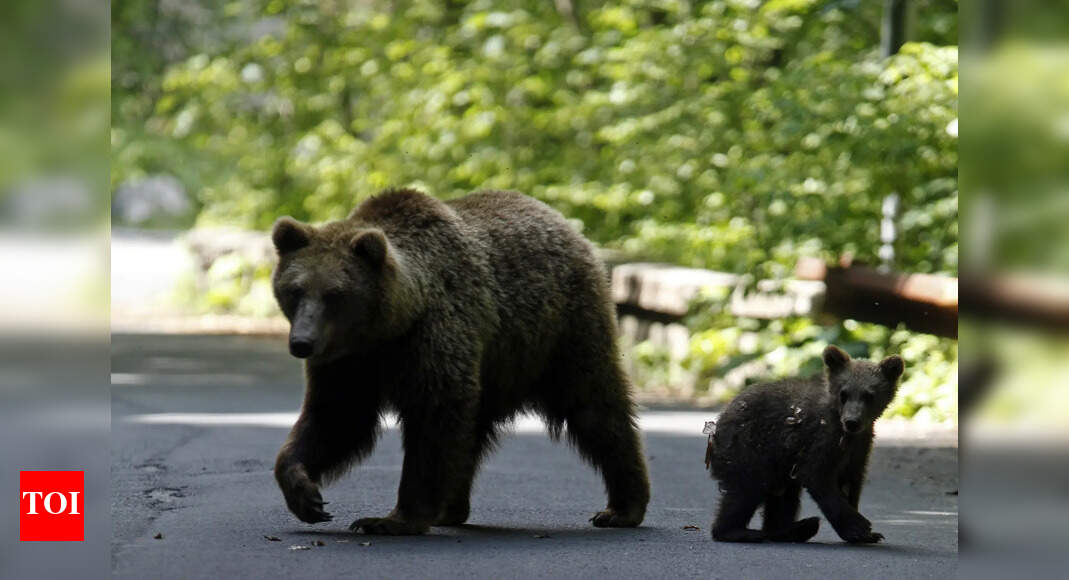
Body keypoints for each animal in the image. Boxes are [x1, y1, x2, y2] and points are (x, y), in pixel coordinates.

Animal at [270, 188, 651, 535]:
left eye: (334, 294)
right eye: (295, 290)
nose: (302, 342)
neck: (391, 326)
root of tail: (565, 224)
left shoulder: (433, 336)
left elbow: (433, 420)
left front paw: (391, 519)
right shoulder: (348, 362)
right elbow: (338, 417)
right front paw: (305, 494)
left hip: (561, 331)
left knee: (594, 407)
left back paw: (622, 508)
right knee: (473, 433)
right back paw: (450, 508)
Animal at [706, 345, 903, 544]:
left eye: (869, 395)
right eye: (844, 393)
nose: (852, 421)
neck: (846, 434)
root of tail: (719, 421)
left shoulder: (860, 447)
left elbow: (850, 482)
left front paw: (869, 533)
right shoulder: (821, 438)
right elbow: (818, 476)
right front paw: (859, 527)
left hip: (779, 464)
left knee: (783, 496)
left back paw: (795, 529)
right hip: (748, 448)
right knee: (747, 488)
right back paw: (739, 531)